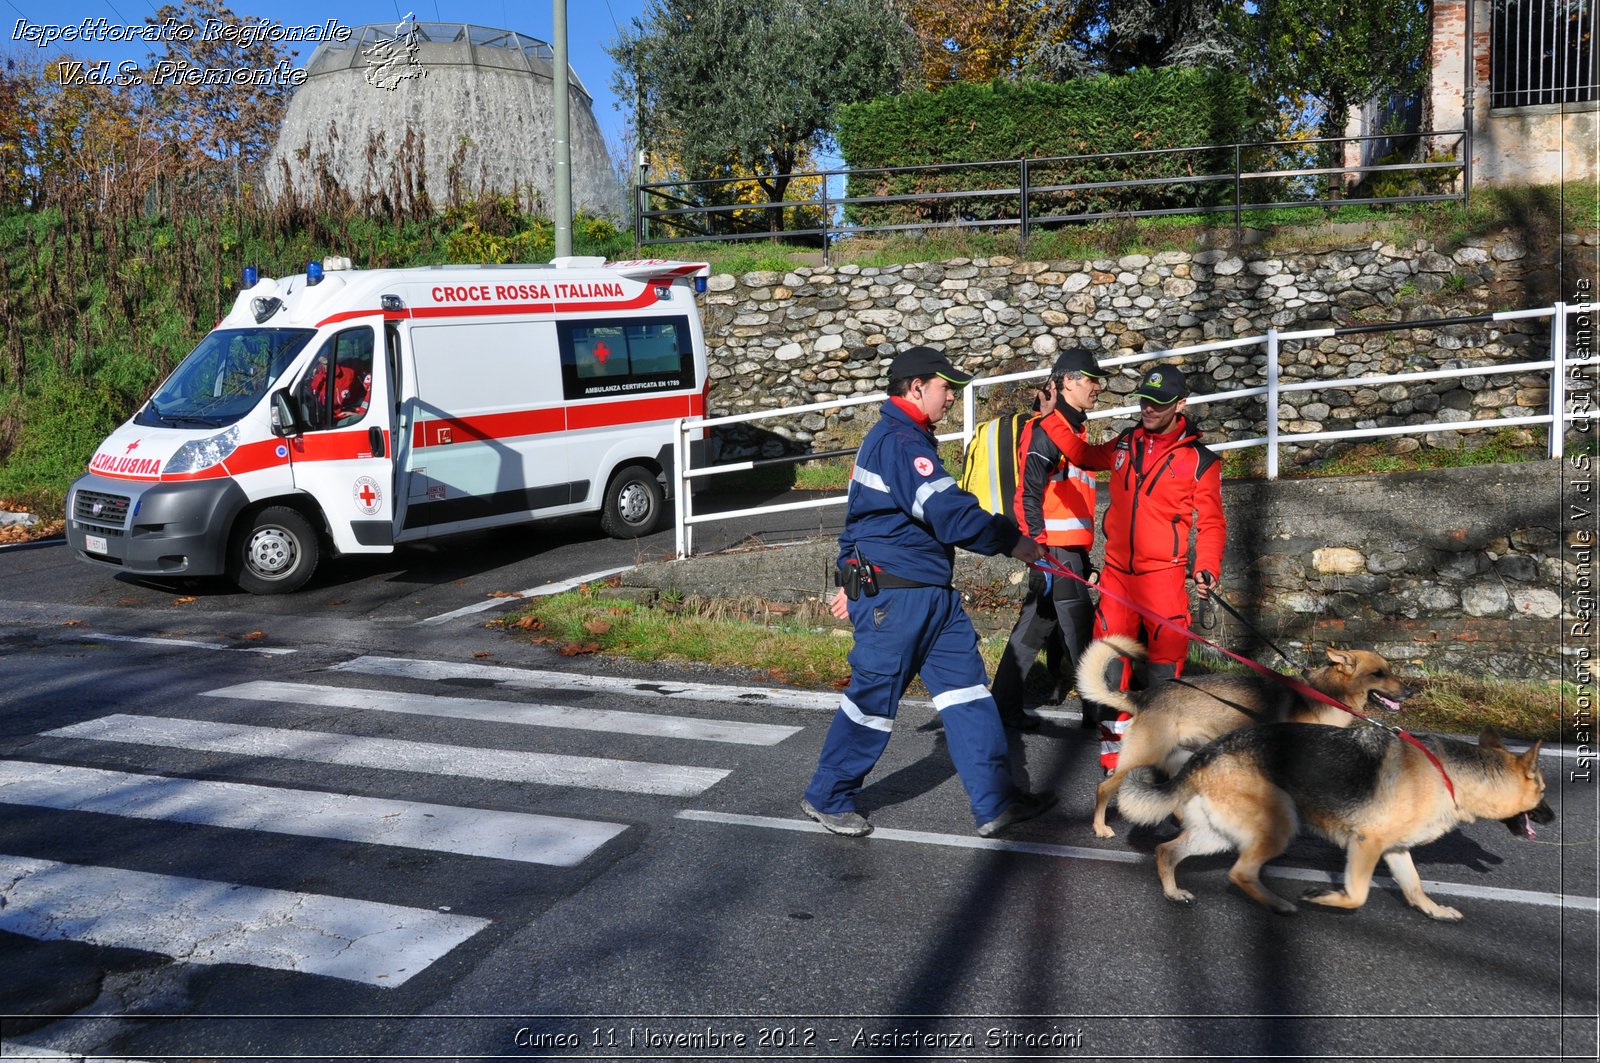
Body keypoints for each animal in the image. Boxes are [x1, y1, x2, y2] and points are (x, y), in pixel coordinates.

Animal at [1075, 630, 1414, 838]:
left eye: (1389, 669)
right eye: (1378, 674)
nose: (1411, 691)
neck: (1328, 694)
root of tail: (1144, 696)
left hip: (1180, 757)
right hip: (1143, 754)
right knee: (1105, 788)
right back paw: (1100, 827)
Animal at [1113, 726, 1548, 915]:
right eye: (1543, 790)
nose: (1553, 816)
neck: (1450, 774)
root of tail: (1209, 751)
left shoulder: (1395, 851)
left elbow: (1414, 887)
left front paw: (1433, 910)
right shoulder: (1366, 845)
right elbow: (1358, 895)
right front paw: (1325, 897)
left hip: (1214, 834)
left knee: (1167, 851)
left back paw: (1173, 891)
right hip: (1279, 826)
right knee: (1239, 873)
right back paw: (1280, 904)